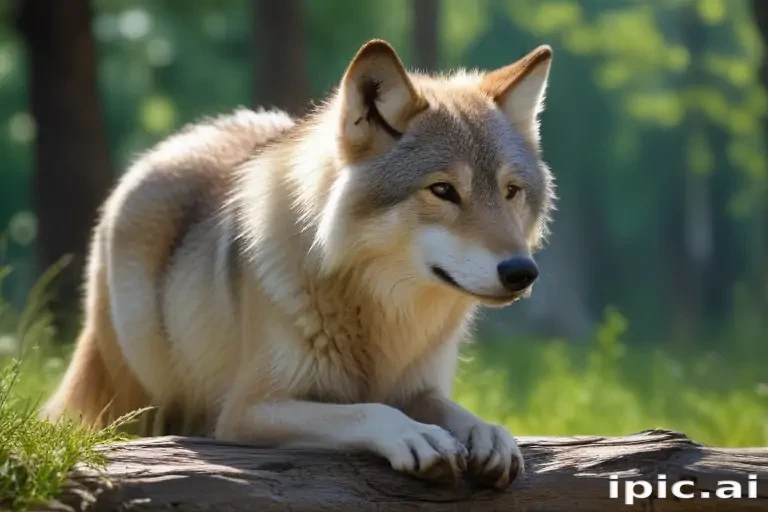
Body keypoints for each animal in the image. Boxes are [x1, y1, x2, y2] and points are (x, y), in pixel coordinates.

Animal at [41, 39, 555, 489]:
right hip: (146, 379)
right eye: (443, 190)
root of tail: (179, 141)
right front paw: (416, 436)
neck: (378, 312)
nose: (521, 272)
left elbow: (462, 414)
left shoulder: (420, 389)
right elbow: (369, 410)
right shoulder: (248, 410)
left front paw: (490, 435)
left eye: (511, 192)